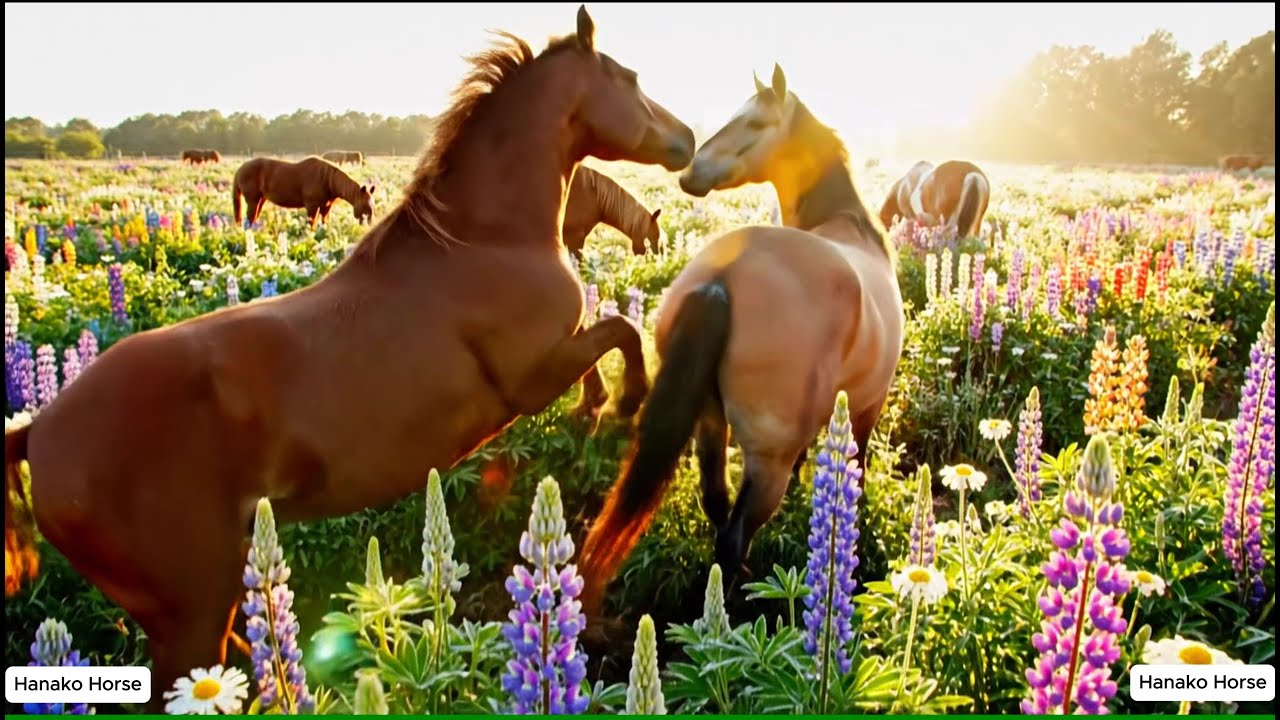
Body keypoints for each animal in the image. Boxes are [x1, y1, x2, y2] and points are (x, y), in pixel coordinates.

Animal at [232, 156, 376, 229]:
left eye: (373, 204)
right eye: (364, 205)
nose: (369, 223)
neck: (327, 180)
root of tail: (240, 169)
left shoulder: (325, 207)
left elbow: (324, 223)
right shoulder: (312, 207)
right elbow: (311, 225)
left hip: (261, 199)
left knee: (254, 218)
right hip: (253, 200)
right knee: (250, 219)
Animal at [577, 64, 905, 615]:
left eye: (754, 122)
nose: (690, 174)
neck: (852, 226)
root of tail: (719, 283)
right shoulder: (867, 404)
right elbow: (854, 464)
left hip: (711, 424)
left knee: (717, 505)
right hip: (765, 457)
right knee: (734, 535)